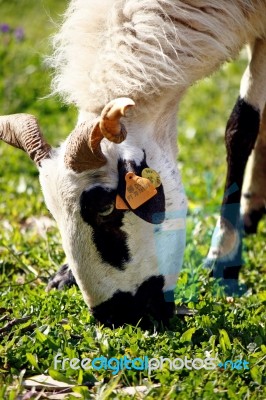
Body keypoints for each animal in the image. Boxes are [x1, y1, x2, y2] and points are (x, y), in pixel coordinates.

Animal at [0, 0, 266, 328]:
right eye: (52, 213)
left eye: (105, 208)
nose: (114, 316)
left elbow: (241, 128)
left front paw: (223, 259)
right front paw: (65, 274)